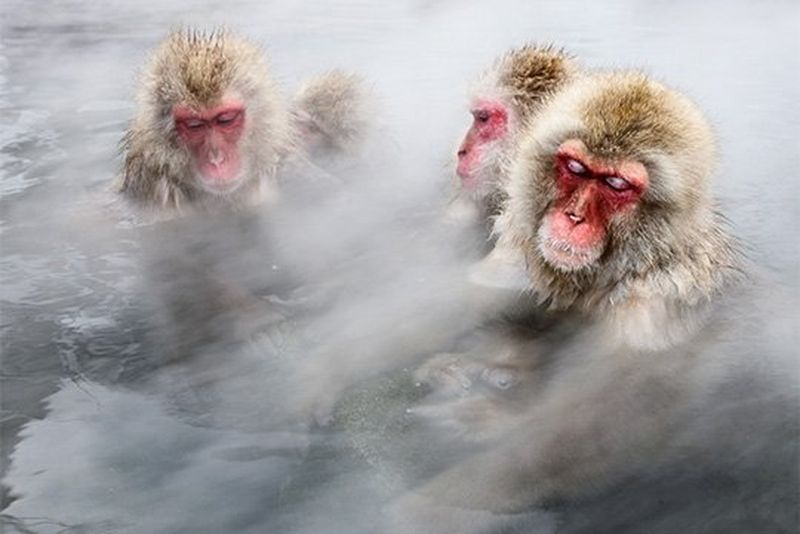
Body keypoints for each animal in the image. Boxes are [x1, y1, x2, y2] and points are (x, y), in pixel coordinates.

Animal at [387, 71, 750, 530]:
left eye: (616, 184)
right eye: (575, 168)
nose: (573, 217)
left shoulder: (653, 308)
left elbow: (606, 425)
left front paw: (425, 509)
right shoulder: (522, 249)